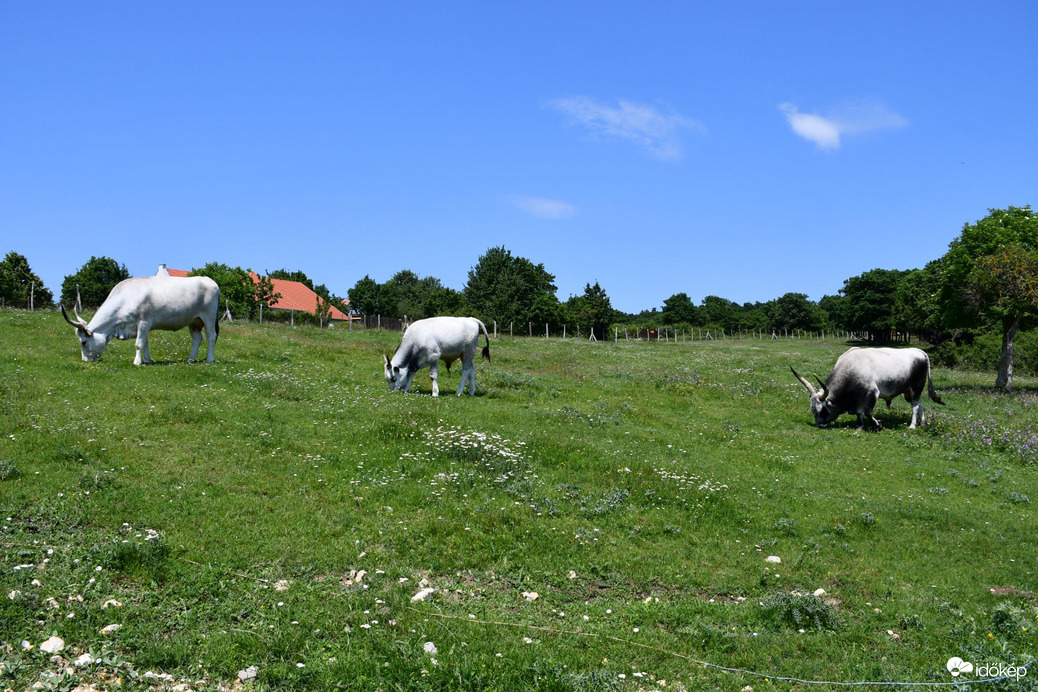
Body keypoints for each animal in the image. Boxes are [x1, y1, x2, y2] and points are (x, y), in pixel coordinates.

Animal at [61, 273, 221, 365]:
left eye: (83, 342)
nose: (85, 361)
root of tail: (210, 281)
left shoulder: (144, 322)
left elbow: (139, 344)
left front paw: (137, 362)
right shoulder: (142, 326)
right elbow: (145, 342)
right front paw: (147, 360)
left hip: (209, 317)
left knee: (211, 336)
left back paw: (209, 359)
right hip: (193, 321)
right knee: (197, 338)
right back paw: (190, 360)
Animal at [788, 348, 946, 429]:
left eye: (823, 410)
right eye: (813, 410)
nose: (820, 425)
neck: (852, 367)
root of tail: (920, 352)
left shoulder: (872, 392)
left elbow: (868, 411)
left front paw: (878, 424)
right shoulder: (858, 398)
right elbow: (859, 412)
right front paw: (860, 426)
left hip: (916, 388)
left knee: (914, 406)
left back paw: (913, 425)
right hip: (909, 392)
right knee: (919, 404)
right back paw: (923, 422)